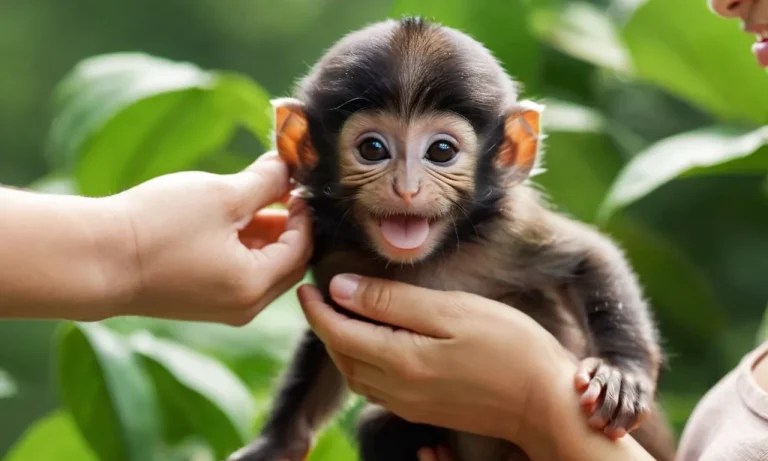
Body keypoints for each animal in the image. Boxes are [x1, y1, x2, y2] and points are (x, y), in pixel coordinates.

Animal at [228, 18, 676, 461]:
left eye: (441, 151)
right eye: (372, 148)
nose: (406, 188)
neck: (430, 258)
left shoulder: (510, 230)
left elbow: (591, 256)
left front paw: (621, 371)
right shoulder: (335, 253)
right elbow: (323, 349)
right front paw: (276, 445)